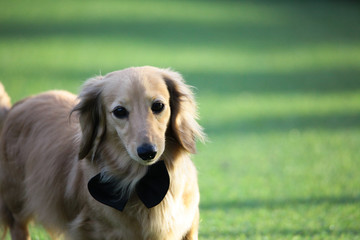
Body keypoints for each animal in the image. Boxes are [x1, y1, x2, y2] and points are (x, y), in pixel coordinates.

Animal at [0, 67, 204, 240]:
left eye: (158, 105)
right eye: (119, 111)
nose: (148, 152)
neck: (143, 181)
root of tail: (11, 110)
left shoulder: (189, 224)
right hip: (16, 206)